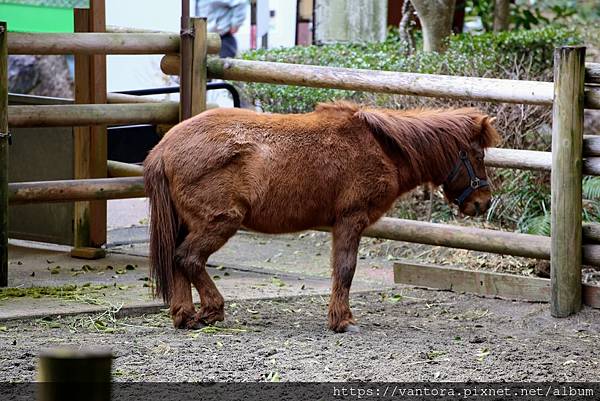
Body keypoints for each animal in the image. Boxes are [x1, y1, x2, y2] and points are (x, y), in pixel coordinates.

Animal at [143, 102, 500, 332]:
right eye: (477, 156)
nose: (483, 202)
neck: (381, 147)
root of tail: (164, 148)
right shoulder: (350, 221)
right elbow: (345, 270)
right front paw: (342, 320)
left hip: (187, 224)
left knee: (178, 262)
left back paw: (185, 316)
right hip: (219, 222)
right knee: (188, 259)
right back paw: (212, 311)